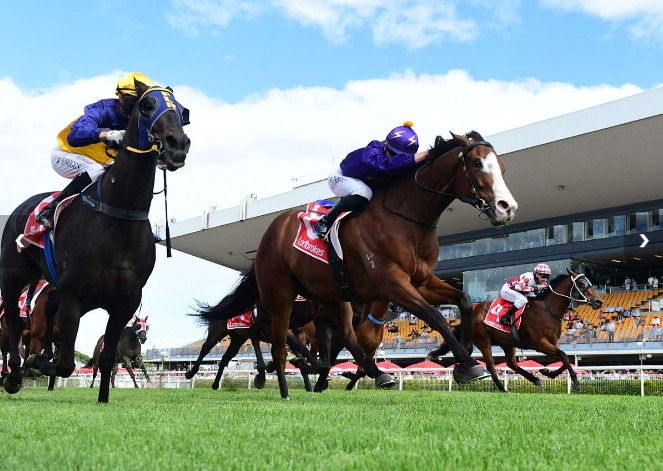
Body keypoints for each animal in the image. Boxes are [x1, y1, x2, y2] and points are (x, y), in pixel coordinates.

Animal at [0, 80, 192, 402]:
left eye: (180, 110)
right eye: (147, 106)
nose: (177, 143)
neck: (118, 216)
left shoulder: (124, 301)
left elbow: (107, 358)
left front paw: (103, 399)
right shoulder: (75, 296)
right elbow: (65, 364)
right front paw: (36, 362)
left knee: (47, 307)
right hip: (14, 276)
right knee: (14, 319)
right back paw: (14, 373)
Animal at [187, 302, 320, 390]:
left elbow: (301, 351)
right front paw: (261, 377)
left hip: (237, 340)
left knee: (224, 358)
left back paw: (215, 384)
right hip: (217, 332)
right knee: (205, 348)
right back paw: (190, 372)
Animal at [428, 272, 604, 392]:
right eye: (581, 282)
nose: (599, 301)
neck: (548, 309)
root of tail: (474, 310)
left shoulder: (553, 342)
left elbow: (565, 358)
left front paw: (547, 371)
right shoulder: (539, 343)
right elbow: (563, 356)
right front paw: (576, 383)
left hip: (508, 342)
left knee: (511, 363)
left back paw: (534, 379)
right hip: (484, 341)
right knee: (492, 367)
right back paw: (503, 389)